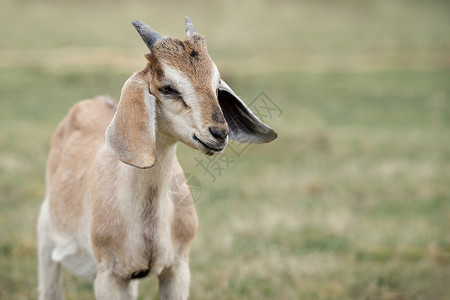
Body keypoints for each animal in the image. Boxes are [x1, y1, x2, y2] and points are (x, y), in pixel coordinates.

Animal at [37, 17, 278, 300]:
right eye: (168, 88)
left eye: (216, 84)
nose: (219, 133)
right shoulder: (108, 276)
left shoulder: (177, 269)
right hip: (47, 239)